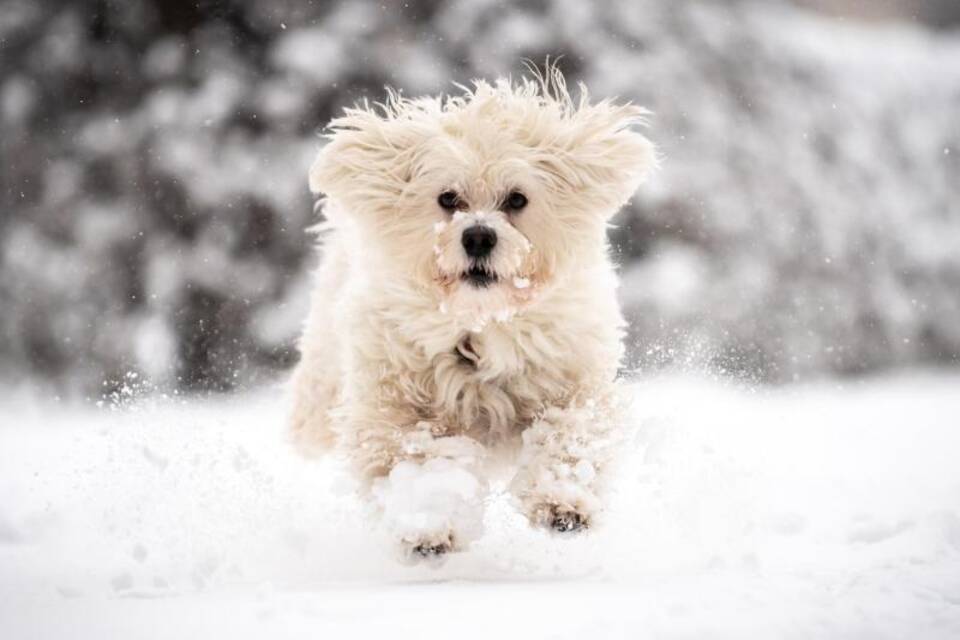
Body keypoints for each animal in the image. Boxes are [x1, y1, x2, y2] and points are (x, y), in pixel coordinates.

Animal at [288, 63, 656, 556]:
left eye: (517, 199)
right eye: (448, 198)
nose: (478, 235)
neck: (482, 323)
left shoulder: (573, 379)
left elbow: (569, 432)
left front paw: (562, 499)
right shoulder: (396, 403)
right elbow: (417, 456)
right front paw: (429, 523)